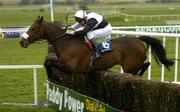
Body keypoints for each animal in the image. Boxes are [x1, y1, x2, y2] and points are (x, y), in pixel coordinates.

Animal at [19, 16, 174, 76]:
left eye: (33, 29)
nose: (21, 42)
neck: (67, 43)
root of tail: (138, 39)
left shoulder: (71, 67)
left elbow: (50, 63)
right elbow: (47, 61)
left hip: (130, 66)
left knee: (143, 66)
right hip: (132, 66)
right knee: (145, 64)